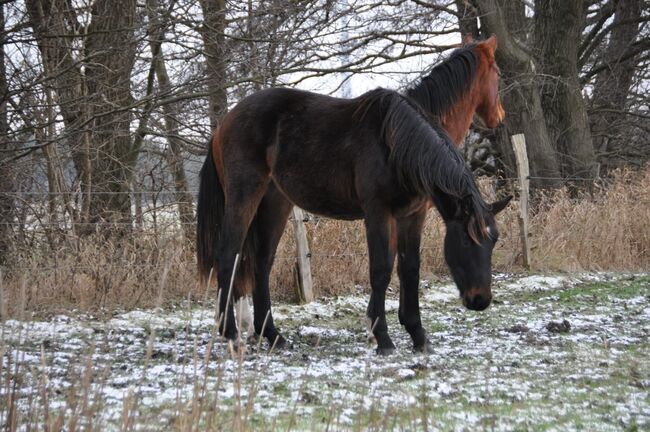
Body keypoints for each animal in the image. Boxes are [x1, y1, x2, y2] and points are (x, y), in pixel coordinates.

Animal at [195, 36, 508, 354]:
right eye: (468, 241)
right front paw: (381, 336)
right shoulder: (378, 213)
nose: (480, 300)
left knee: (261, 263)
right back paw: (231, 333)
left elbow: (410, 269)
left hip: (275, 203)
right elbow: (381, 269)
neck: (396, 143)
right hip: (244, 196)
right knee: (228, 255)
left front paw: (417, 334)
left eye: (493, 241)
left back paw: (271, 334)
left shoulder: (413, 215)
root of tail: (223, 125)